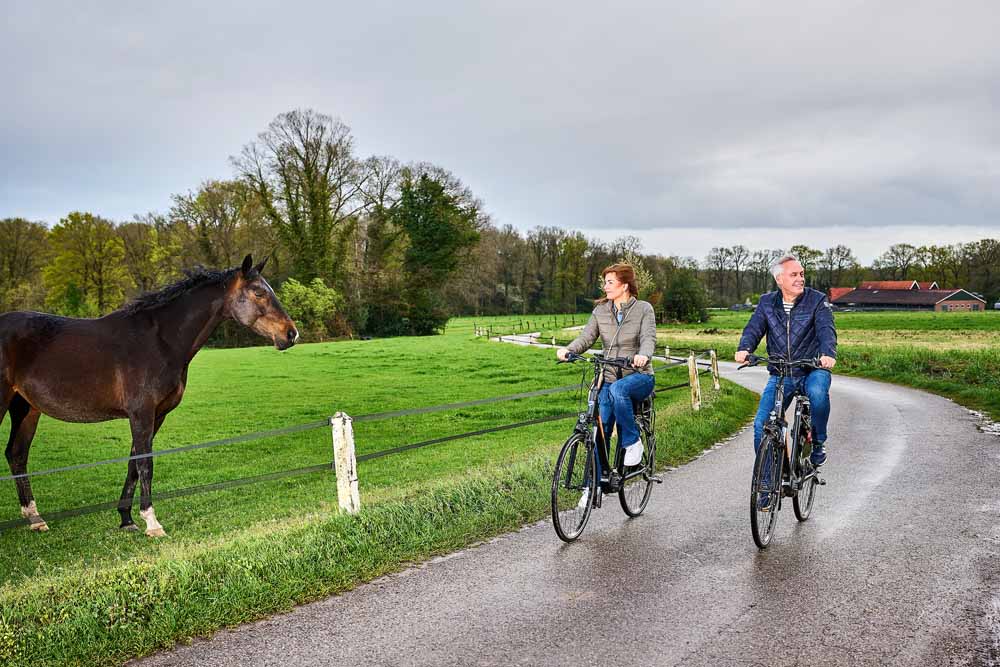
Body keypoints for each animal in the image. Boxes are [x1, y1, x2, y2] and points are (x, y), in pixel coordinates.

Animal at [0, 254, 296, 536]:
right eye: (258, 292)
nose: (291, 333)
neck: (159, 341)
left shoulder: (156, 415)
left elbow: (133, 464)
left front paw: (127, 520)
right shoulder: (141, 413)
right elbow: (145, 463)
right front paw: (152, 523)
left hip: (26, 409)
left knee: (17, 454)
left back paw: (36, 520)